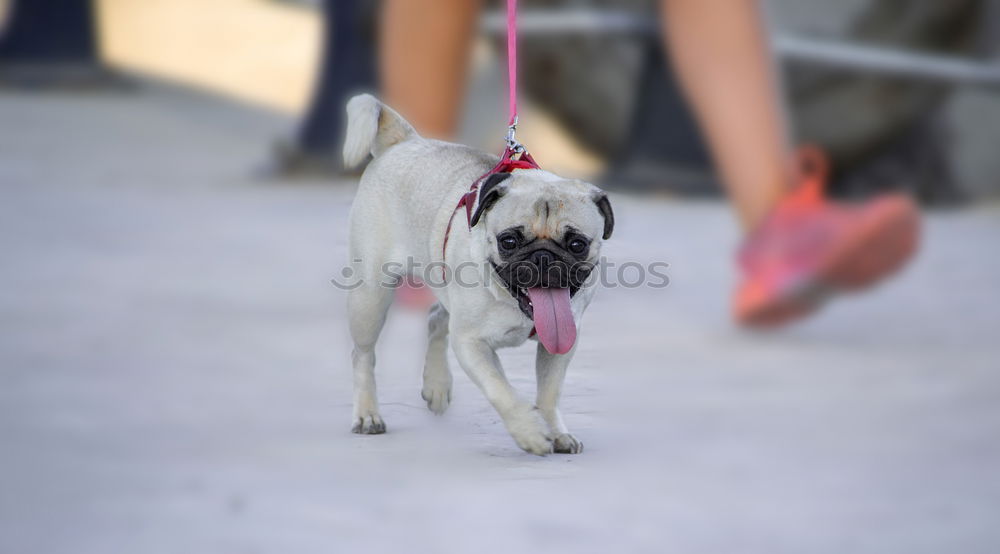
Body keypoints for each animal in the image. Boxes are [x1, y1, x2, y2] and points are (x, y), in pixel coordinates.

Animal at [342, 94, 608, 452]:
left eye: (577, 244)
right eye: (508, 241)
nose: (542, 257)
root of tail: (405, 140)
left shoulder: (562, 341)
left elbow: (549, 393)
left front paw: (555, 431)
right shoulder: (471, 343)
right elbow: (501, 391)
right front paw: (530, 432)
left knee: (436, 318)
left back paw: (437, 386)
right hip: (371, 297)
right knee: (363, 355)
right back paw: (367, 414)